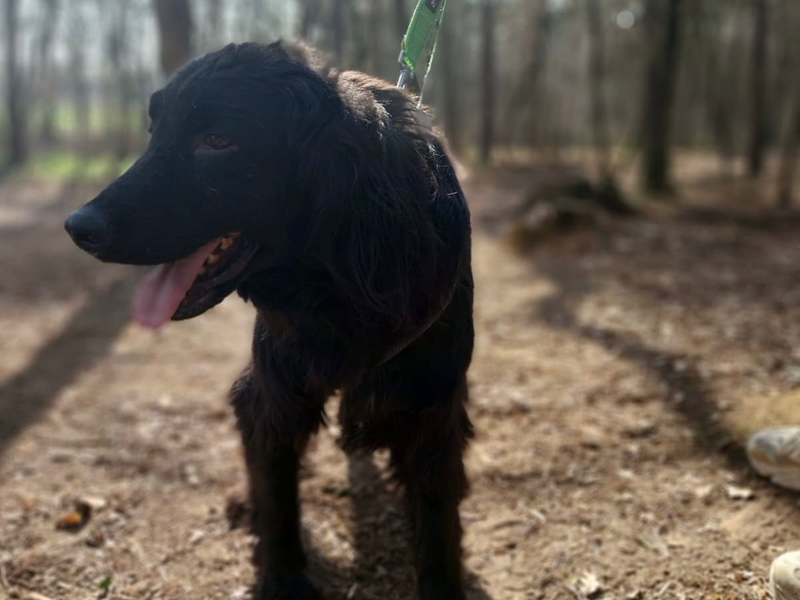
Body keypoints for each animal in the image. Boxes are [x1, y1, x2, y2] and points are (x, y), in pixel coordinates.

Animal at [65, 42, 474, 600]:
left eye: (218, 140)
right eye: (155, 131)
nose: (77, 227)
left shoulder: (432, 409)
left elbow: (438, 528)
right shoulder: (271, 394)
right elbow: (277, 501)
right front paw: (282, 579)